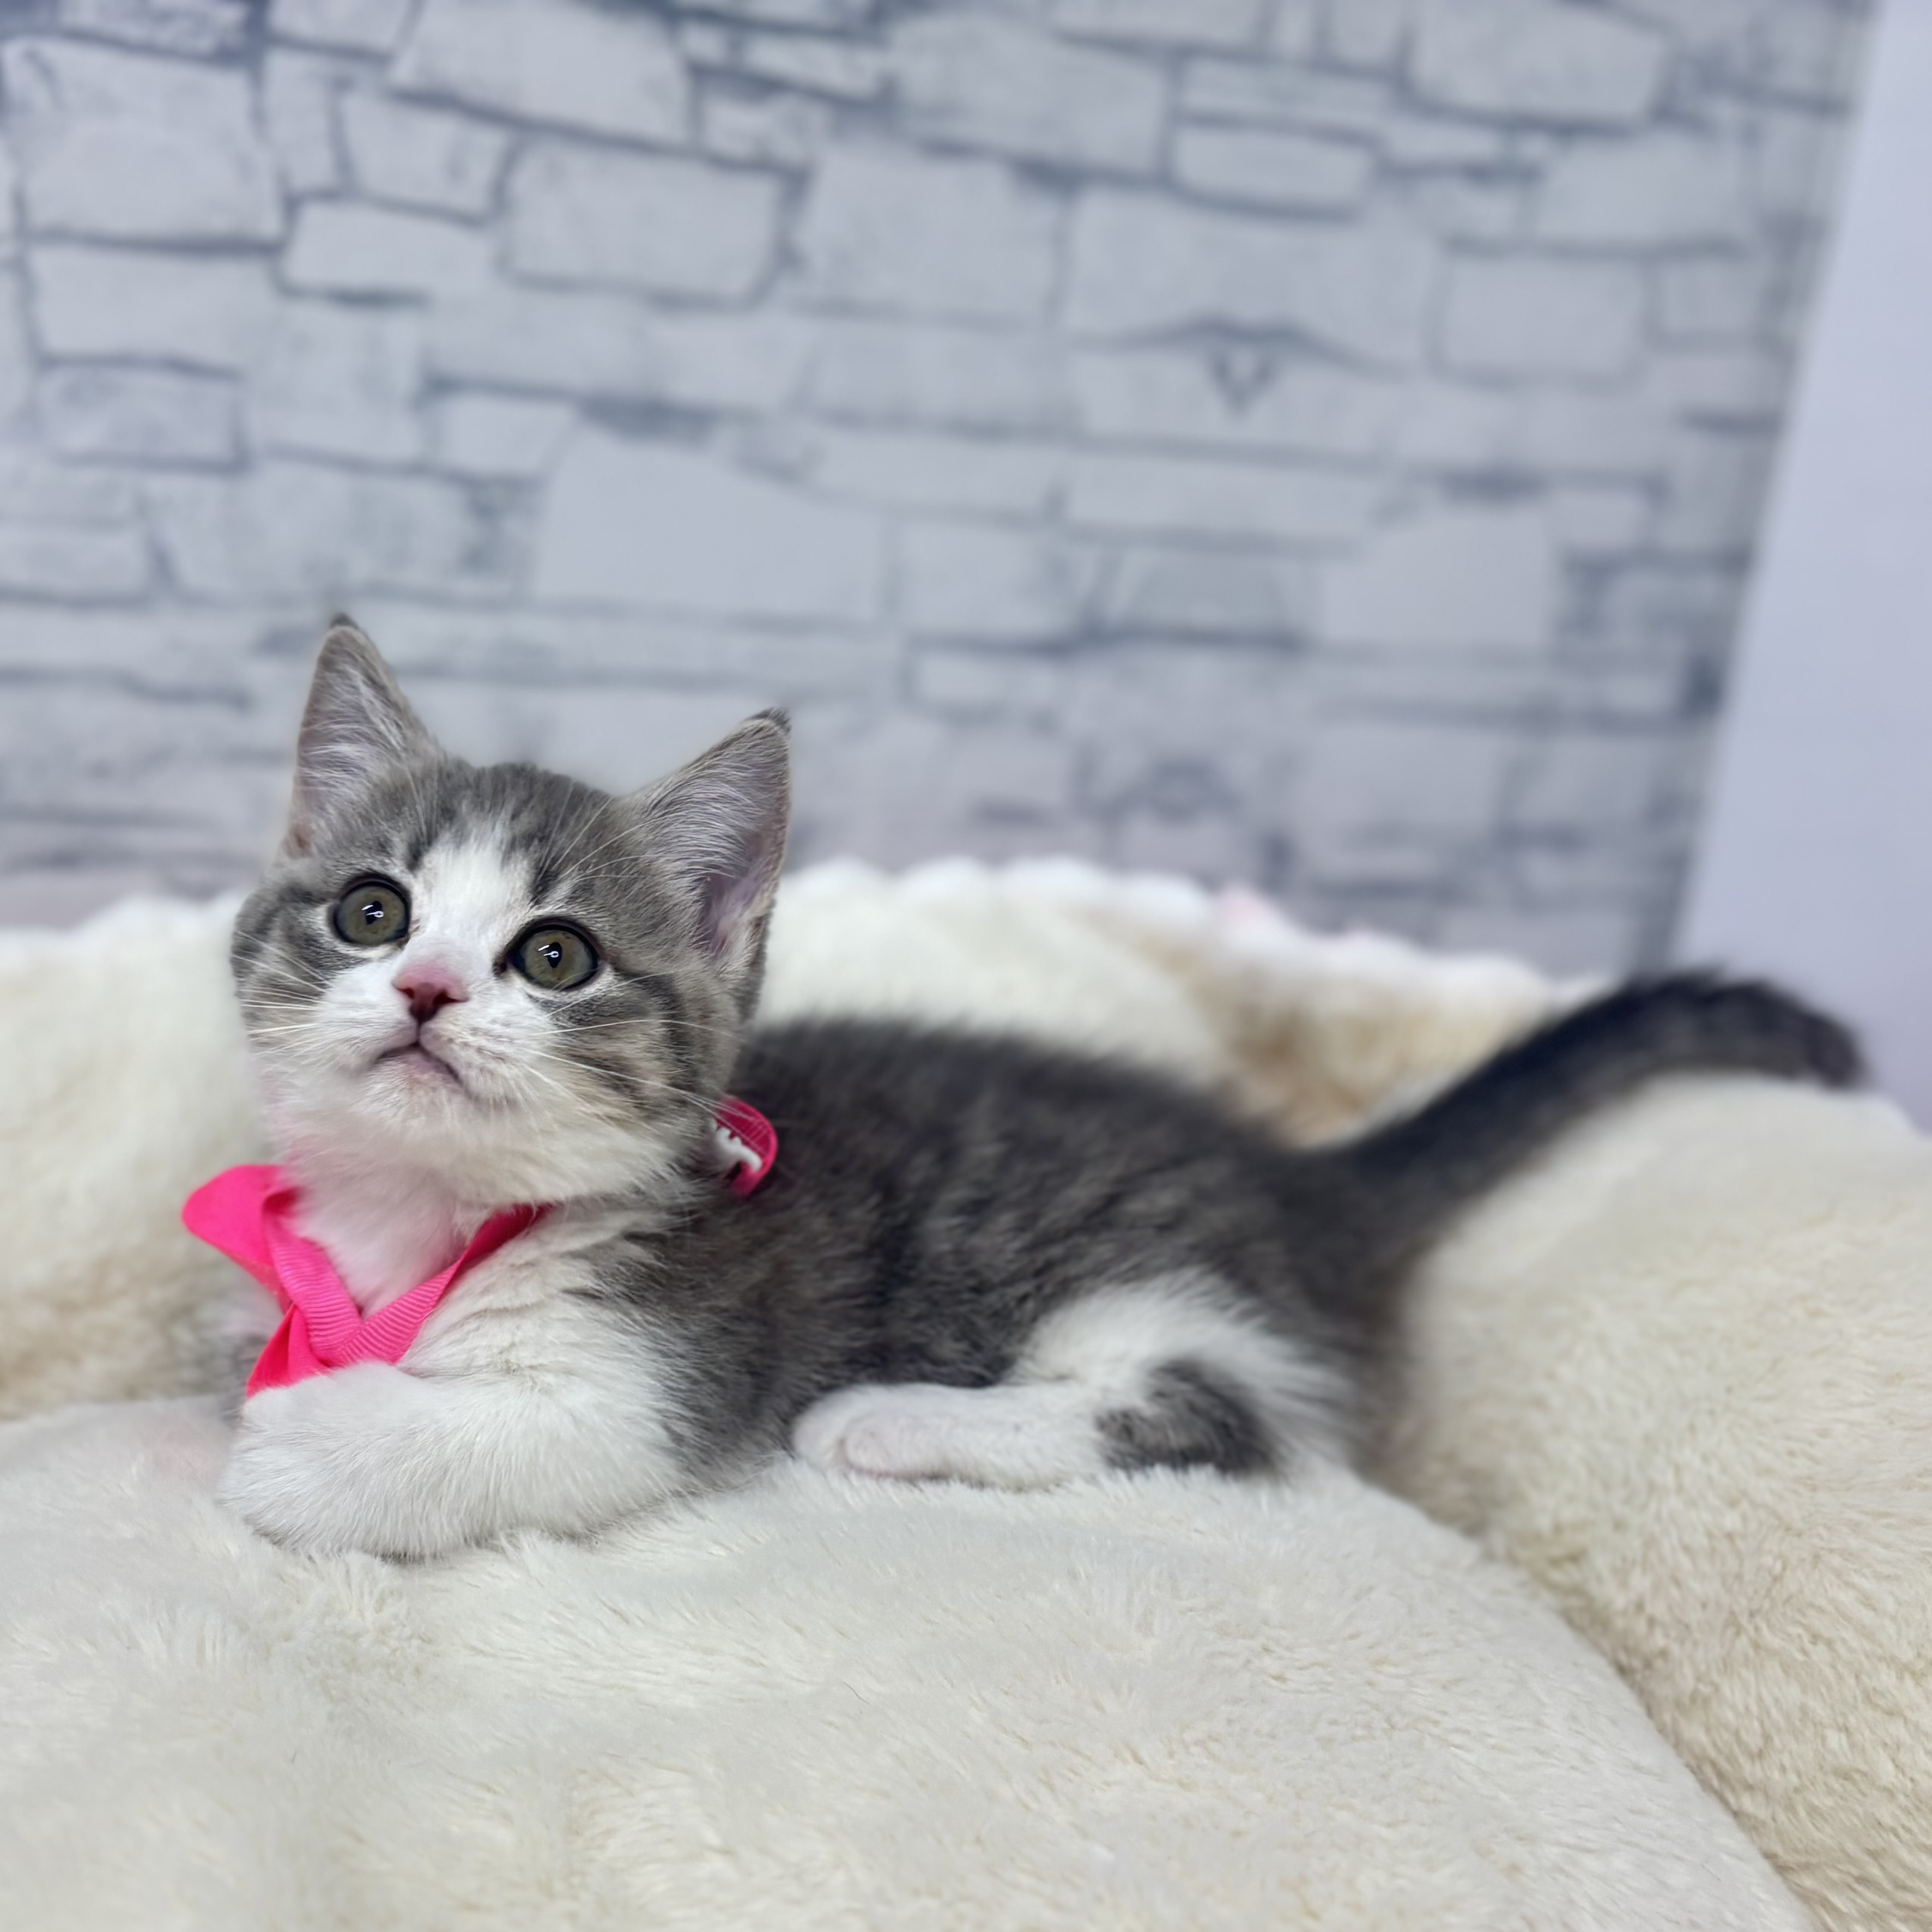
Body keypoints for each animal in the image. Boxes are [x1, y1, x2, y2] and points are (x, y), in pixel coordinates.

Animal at [201, 621, 1861, 1559]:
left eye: (555, 956)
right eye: (372, 913)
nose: (425, 990)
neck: (432, 1220)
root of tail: (1300, 1179)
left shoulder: (670, 1357)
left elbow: (527, 1439)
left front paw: (308, 1450)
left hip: (1137, 1272)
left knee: (1212, 1410)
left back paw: (893, 1420)